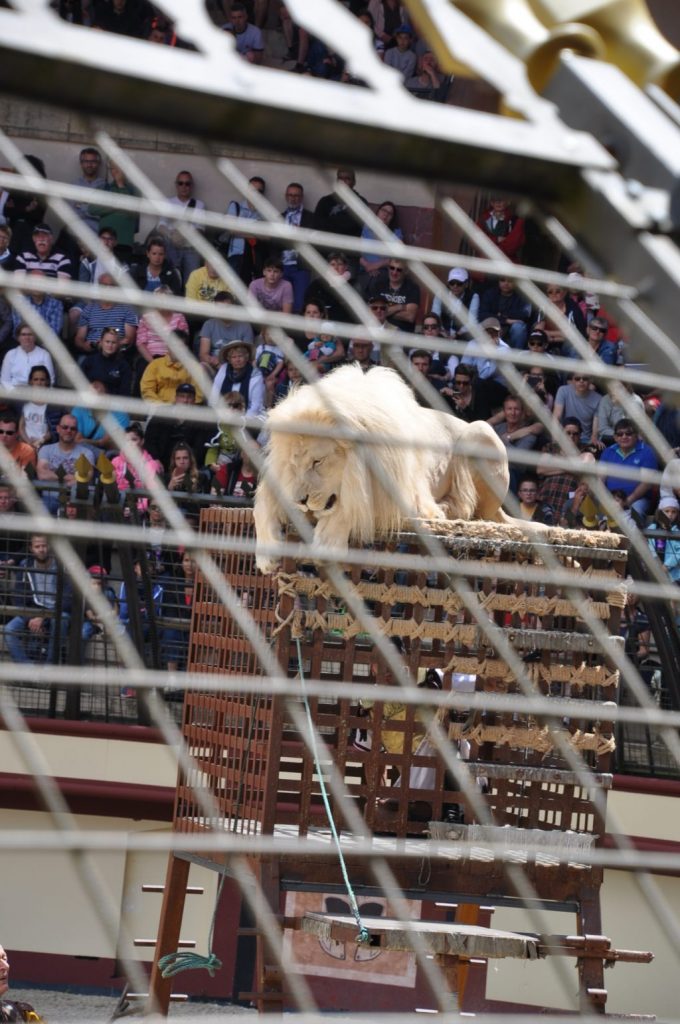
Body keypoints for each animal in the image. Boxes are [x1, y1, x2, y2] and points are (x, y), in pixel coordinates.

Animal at [256, 366, 520, 577]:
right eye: (294, 464)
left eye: (318, 461)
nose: (300, 501)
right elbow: (263, 507)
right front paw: (267, 557)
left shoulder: (396, 497)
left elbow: (351, 507)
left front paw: (327, 544)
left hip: (480, 431)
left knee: (473, 511)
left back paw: (442, 511)